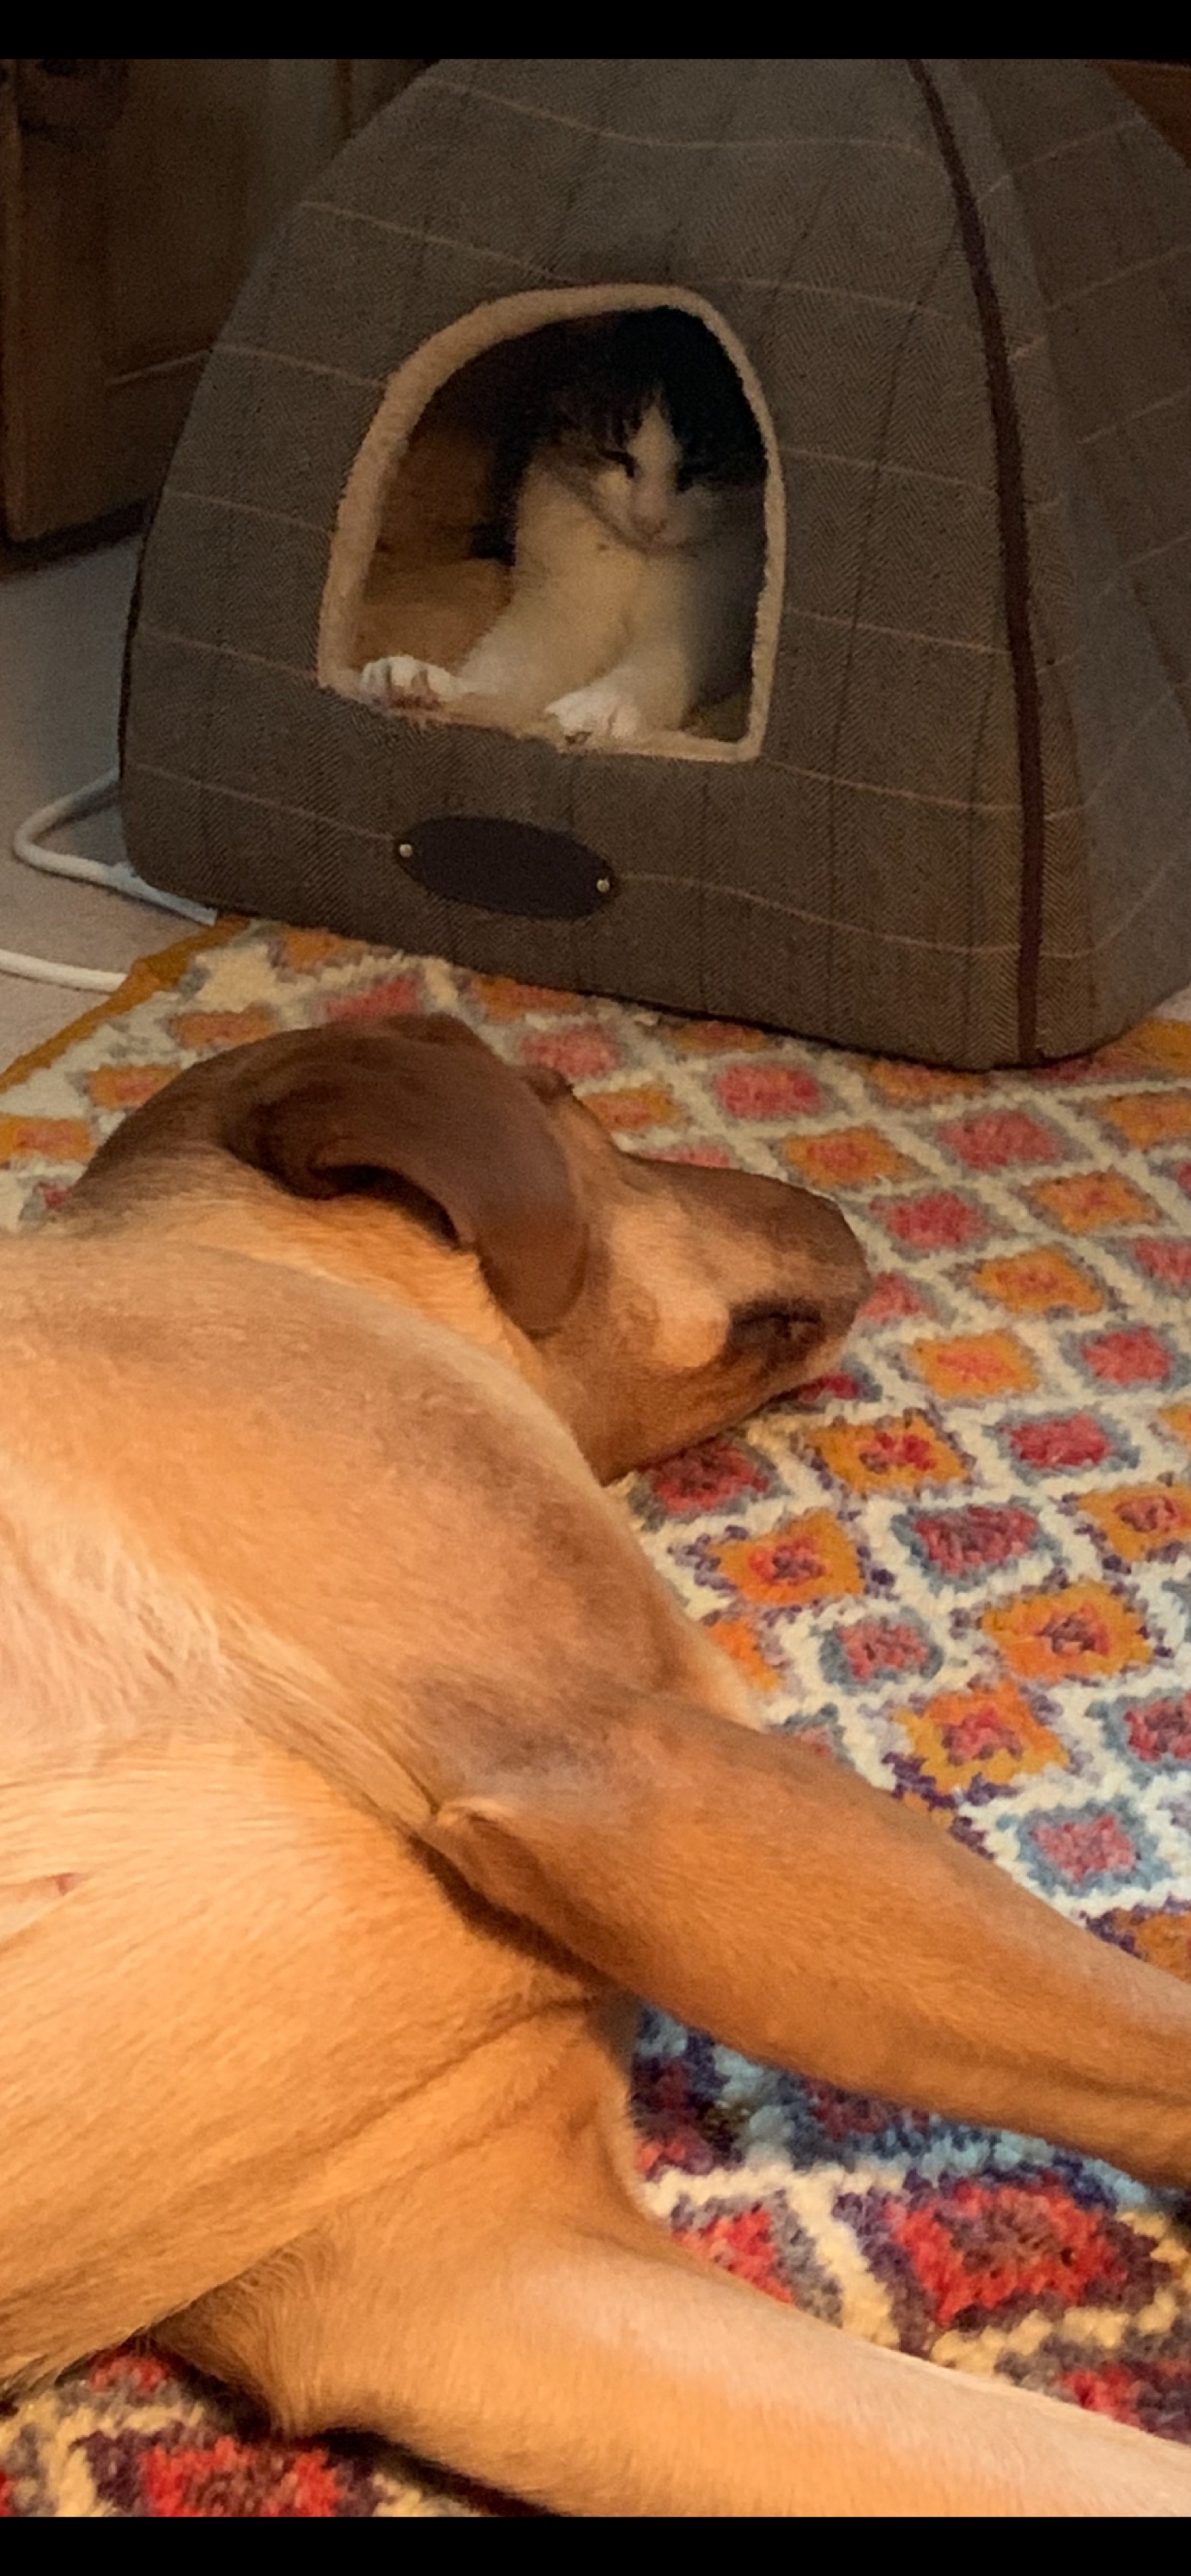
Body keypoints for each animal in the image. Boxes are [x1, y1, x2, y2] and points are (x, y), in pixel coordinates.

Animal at [361, 309, 768, 746]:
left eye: (699, 468)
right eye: (616, 455)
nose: (648, 520)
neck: (639, 559)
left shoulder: (707, 623)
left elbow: (657, 668)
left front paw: (601, 706)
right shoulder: (561, 610)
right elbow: (505, 671)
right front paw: (431, 685)